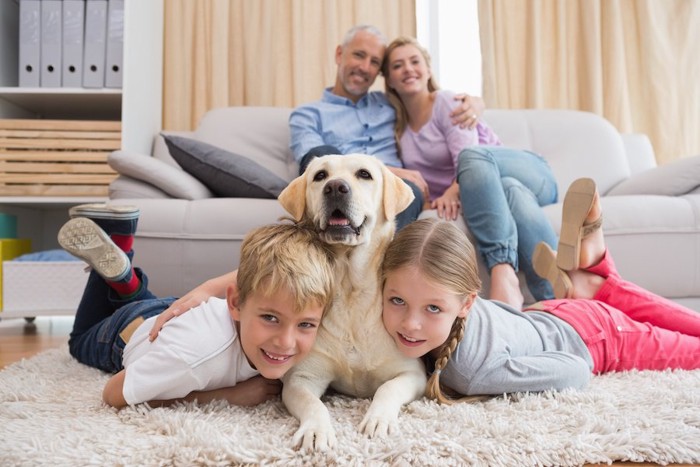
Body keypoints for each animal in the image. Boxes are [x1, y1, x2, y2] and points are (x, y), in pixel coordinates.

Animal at [278, 155, 426, 452]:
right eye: (320, 176)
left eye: (364, 174)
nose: (336, 187)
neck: (351, 292)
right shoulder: (301, 378)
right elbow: (313, 404)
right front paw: (316, 431)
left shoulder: (413, 373)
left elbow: (387, 388)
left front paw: (378, 420)